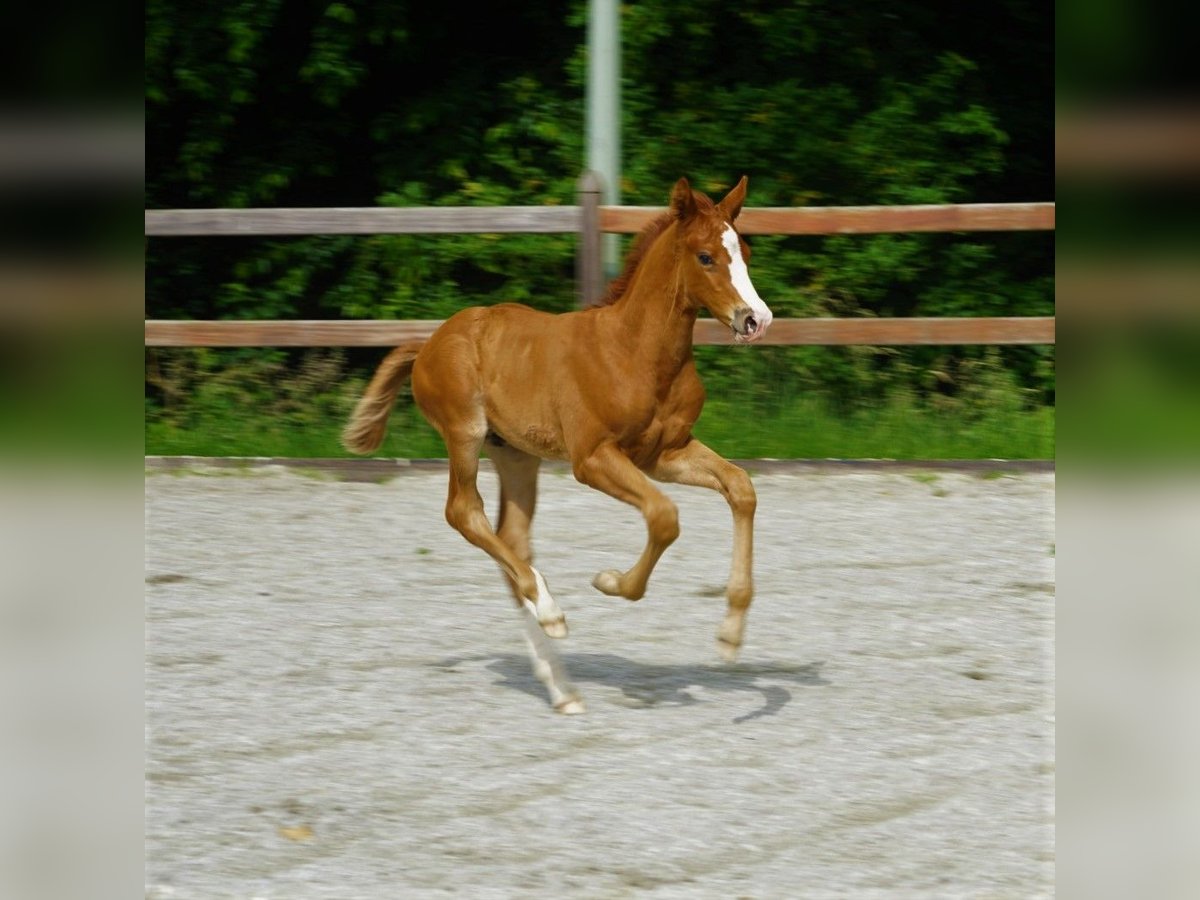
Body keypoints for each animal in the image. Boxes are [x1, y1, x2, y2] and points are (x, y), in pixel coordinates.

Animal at [345, 174, 777, 710]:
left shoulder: (663, 453)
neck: (635, 352)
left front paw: (730, 636)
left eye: (746, 251)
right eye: (705, 257)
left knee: (511, 540)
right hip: (464, 433)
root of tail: (427, 343)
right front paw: (610, 582)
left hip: (516, 453)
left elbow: (741, 488)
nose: (756, 319)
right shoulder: (591, 458)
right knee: (464, 513)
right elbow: (664, 516)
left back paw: (561, 687)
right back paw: (552, 616)